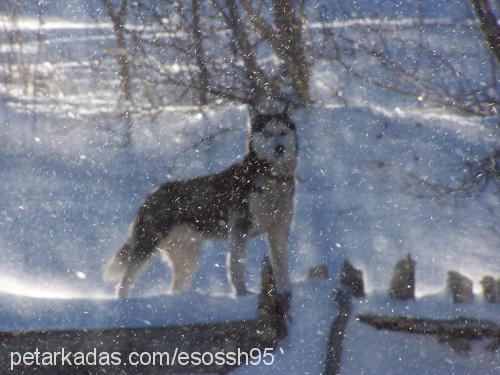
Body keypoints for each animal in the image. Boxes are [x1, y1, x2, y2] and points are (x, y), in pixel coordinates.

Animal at [102, 111, 296, 296]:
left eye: (283, 132)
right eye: (267, 134)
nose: (279, 148)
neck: (272, 178)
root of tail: (149, 196)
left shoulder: (279, 230)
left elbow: (282, 266)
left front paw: (286, 290)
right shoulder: (239, 229)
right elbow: (237, 266)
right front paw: (242, 293)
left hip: (188, 258)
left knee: (175, 287)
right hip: (148, 248)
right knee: (125, 283)